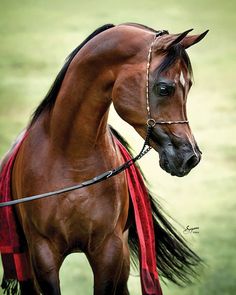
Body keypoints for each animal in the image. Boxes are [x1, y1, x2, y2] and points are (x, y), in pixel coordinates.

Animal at [0, 22, 208, 294]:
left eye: (190, 86)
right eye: (164, 88)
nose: (190, 157)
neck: (72, 161)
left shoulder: (109, 250)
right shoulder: (42, 253)